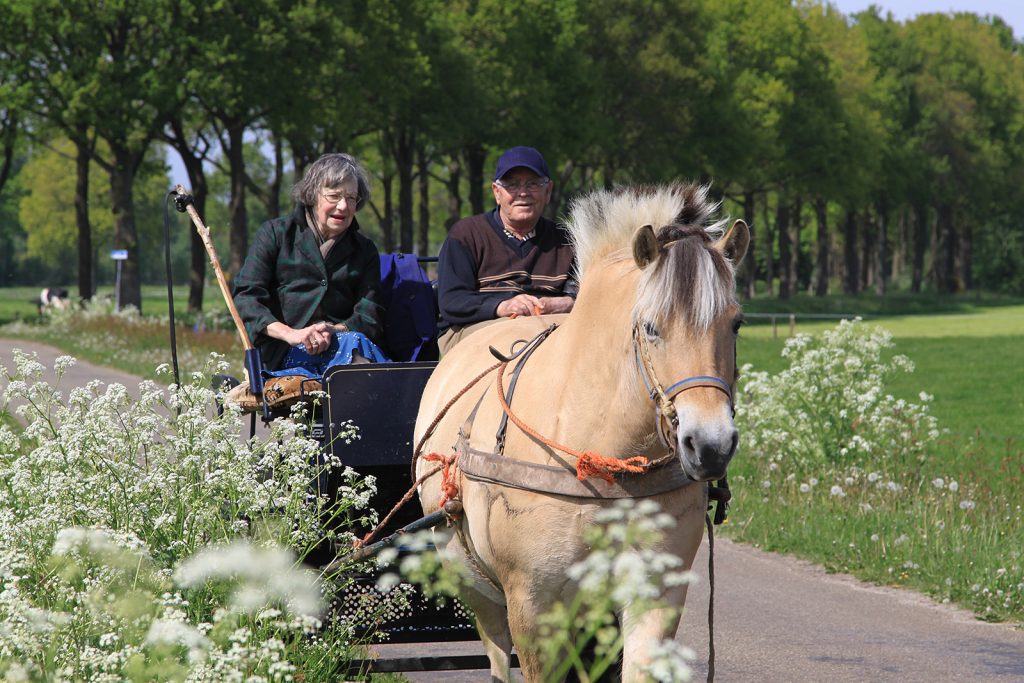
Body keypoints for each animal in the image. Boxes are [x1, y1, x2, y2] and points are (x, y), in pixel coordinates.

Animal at [411, 183, 749, 683]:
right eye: (651, 327)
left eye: (735, 323)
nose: (710, 444)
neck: (600, 460)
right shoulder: (532, 606)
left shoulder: (654, 594)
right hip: (475, 585)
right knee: (496, 653)